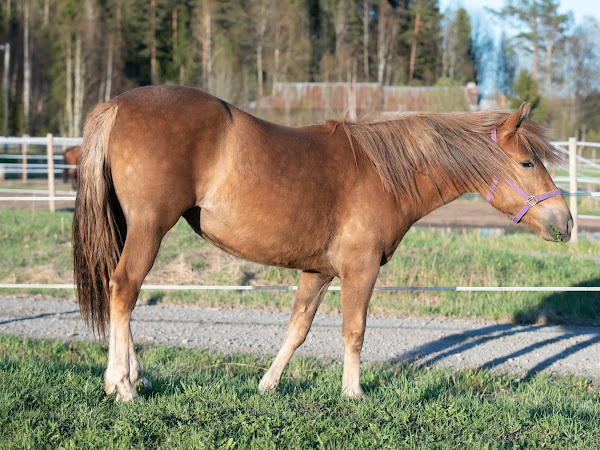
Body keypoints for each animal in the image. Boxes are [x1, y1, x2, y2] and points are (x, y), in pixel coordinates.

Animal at [74, 86, 572, 402]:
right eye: (527, 163)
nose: (565, 222)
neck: (384, 173)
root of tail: (118, 103)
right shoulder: (360, 270)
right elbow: (354, 331)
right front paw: (353, 393)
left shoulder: (318, 272)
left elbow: (297, 330)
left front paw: (268, 385)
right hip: (149, 227)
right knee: (124, 289)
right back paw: (122, 385)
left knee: (124, 294)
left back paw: (134, 377)